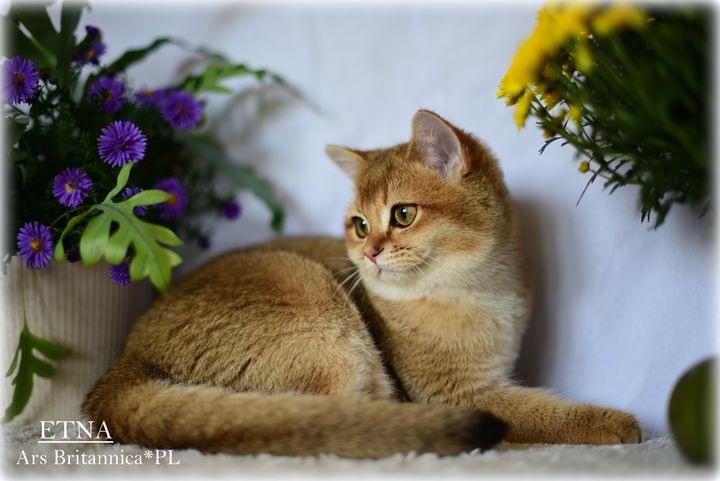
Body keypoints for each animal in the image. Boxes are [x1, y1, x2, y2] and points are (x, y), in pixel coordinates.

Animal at [83, 110, 641, 458]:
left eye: (403, 214)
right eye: (360, 224)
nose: (369, 252)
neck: (477, 292)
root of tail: (123, 365)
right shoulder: (455, 394)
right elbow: (541, 412)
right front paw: (612, 422)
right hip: (313, 306)